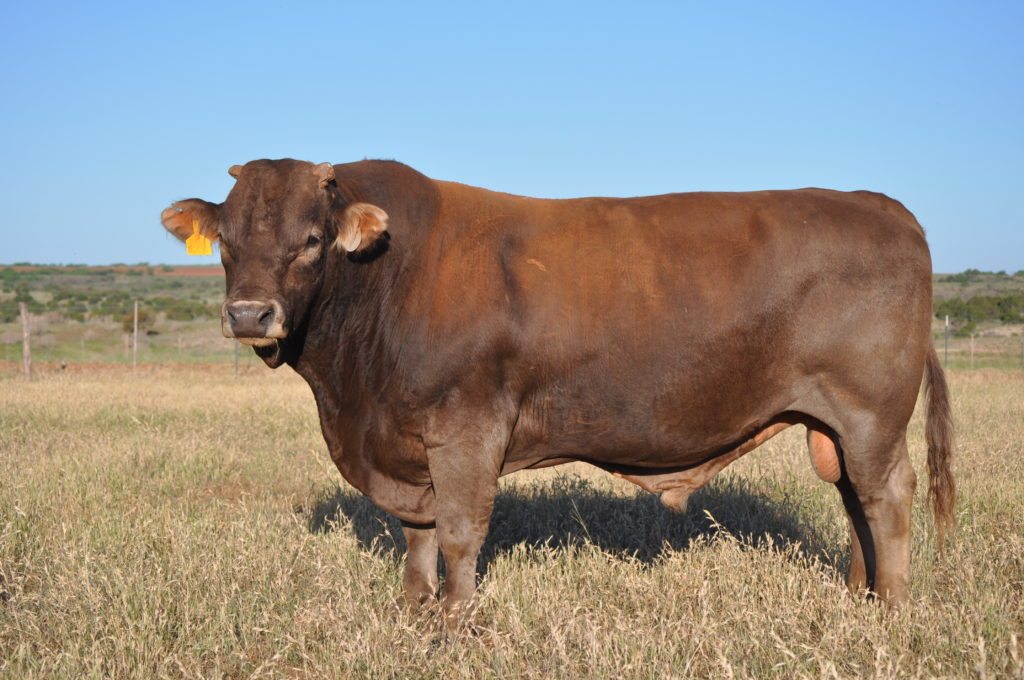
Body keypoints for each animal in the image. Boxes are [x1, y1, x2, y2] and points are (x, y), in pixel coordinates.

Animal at [161, 158, 954, 622]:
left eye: (311, 241)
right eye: (226, 241)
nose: (249, 314)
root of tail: (881, 204)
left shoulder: (467, 427)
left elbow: (459, 530)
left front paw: (458, 624)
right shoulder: (404, 441)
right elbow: (417, 532)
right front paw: (414, 611)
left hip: (871, 413)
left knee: (886, 496)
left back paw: (894, 611)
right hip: (835, 425)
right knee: (853, 500)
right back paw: (860, 596)